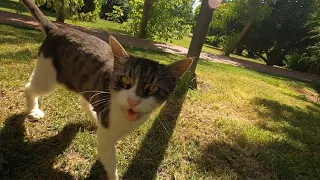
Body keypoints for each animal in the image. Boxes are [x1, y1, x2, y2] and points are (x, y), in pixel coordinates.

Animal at [20, 0, 192, 179]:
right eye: (126, 79)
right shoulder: (106, 133)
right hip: (48, 74)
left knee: (83, 100)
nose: (132, 101)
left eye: (152, 88)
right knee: (30, 88)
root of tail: (56, 29)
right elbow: (108, 157)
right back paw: (33, 110)